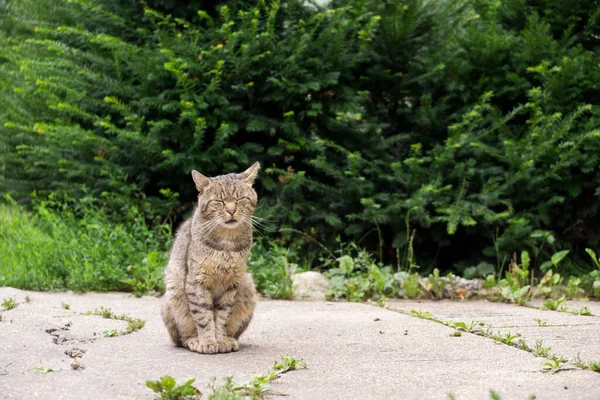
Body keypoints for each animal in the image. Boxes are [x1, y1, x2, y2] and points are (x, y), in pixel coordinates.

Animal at [162, 162, 260, 354]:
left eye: (240, 199)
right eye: (219, 201)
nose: (231, 210)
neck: (226, 244)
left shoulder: (232, 283)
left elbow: (222, 317)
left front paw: (220, 340)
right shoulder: (196, 282)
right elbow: (203, 316)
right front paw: (207, 341)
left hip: (247, 285)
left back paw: (230, 339)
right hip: (174, 289)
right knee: (181, 338)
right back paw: (194, 340)